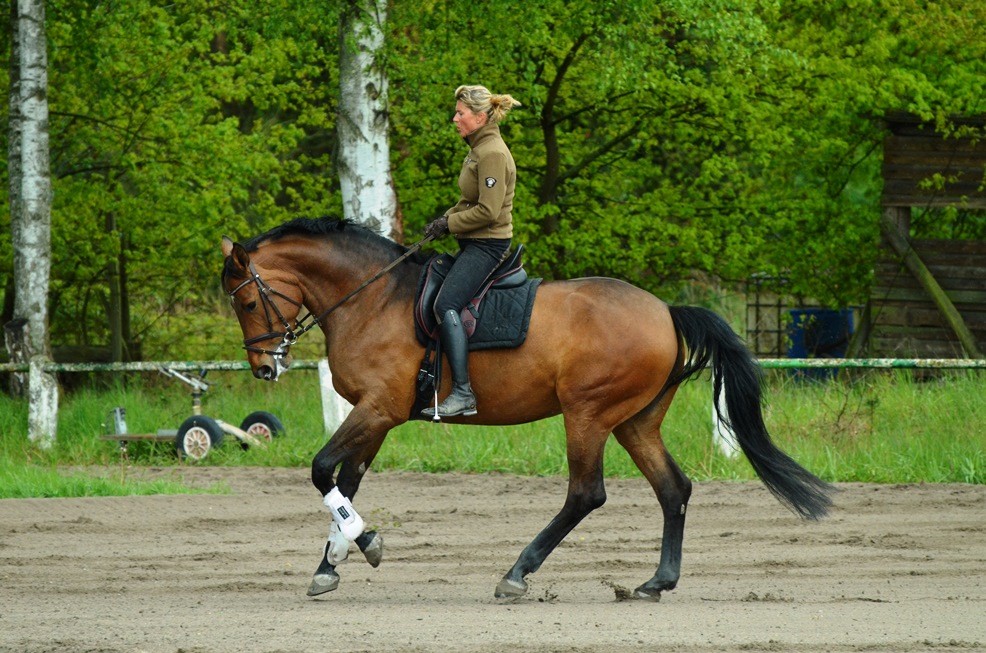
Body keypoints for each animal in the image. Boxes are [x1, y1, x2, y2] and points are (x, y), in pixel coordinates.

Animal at [217, 215, 832, 600]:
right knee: (672, 489)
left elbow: (323, 470)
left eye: (246, 302)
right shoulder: (378, 417)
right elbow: (346, 481)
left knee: (586, 494)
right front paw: (332, 563)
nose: (264, 368)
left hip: (588, 414)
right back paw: (656, 582)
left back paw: (517, 573)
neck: (372, 298)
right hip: (635, 422)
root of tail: (664, 311)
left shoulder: (379, 409)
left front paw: (364, 544)